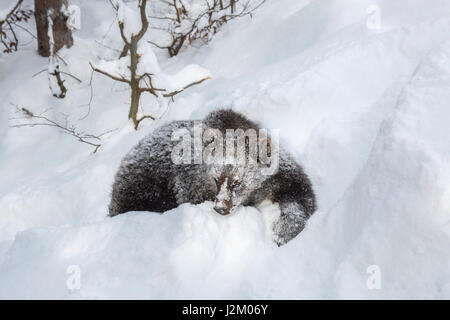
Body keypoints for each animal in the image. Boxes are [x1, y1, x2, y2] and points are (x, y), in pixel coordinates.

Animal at [108, 108, 316, 245]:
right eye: (216, 179)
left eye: (237, 183)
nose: (220, 208)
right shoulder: (189, 182)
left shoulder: (283, 174)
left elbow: (301, 196)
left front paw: (282, 231)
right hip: (142, 185)